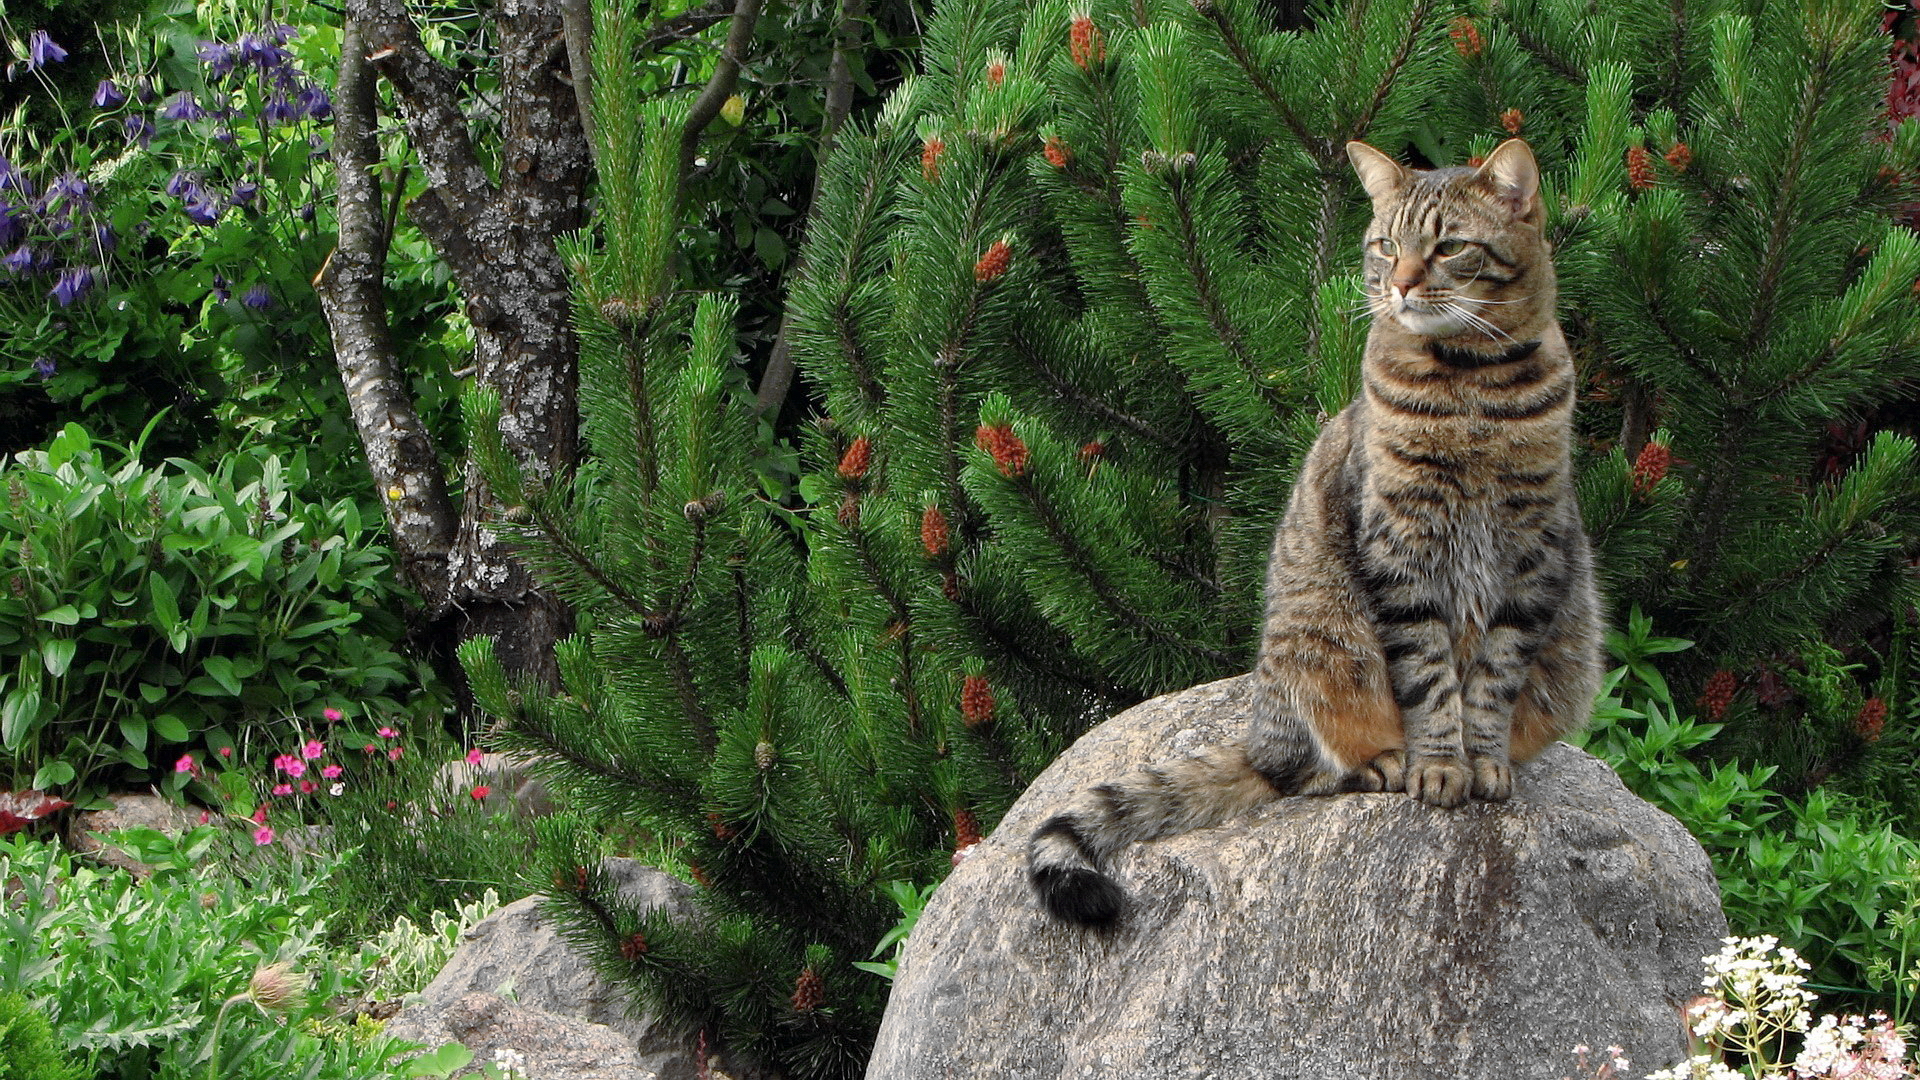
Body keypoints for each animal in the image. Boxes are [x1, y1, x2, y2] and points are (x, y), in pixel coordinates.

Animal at [1036, 138, 1605, 922]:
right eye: (1386, 245)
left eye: (1451, 247)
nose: (1400, 285)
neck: (1472, 385)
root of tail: (1258, 737)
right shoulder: (1398, 549)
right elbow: (1430, 679)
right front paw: (1438, 765)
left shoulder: (1535, 554)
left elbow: (1492, 676)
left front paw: (1482, 760)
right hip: (1323, 648)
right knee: (1309, 768)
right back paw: (1382, 762)